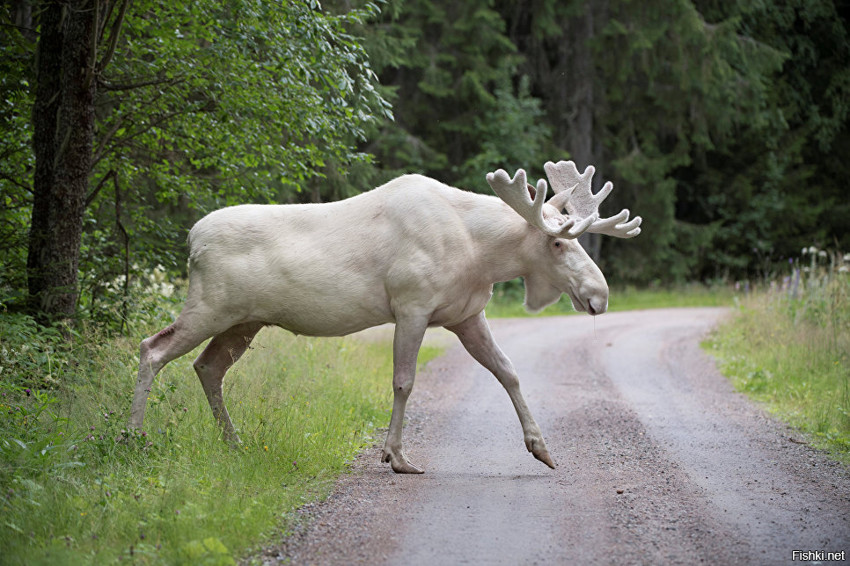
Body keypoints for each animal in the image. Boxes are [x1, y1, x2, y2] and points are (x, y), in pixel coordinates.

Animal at [131, 162, 636, 478]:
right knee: (152, 348)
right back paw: (134, 436)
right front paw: (396, 456)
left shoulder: (467, 314)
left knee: (207, 366)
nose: (599, 295)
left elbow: (509, 371)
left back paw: (234, 444)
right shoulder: (411, 305)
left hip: (243, 321)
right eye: (557, 242)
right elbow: (404, 381)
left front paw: (542, 448)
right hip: (210, 305)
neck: (480, 255)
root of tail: (191, 239)